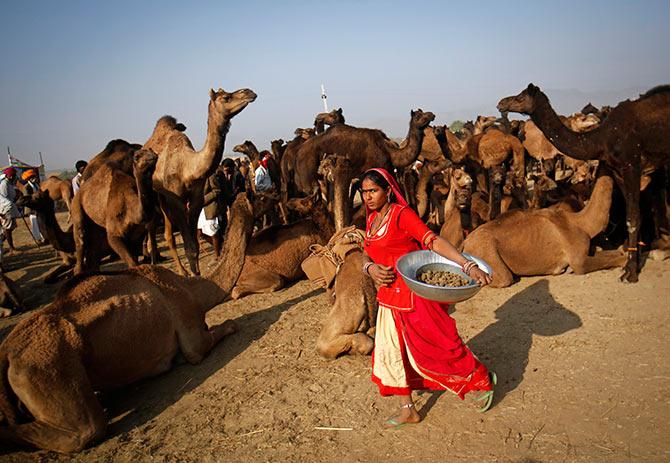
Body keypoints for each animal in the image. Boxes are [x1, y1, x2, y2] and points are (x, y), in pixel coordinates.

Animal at [0, 193, 255, 454]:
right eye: (256, 198)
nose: (247, 194)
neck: (194, 290)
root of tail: (6, 353)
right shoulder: (191, 331)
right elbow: (215, 335)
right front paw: (229, 326)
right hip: (50, 369)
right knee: (86, 429)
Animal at [144, 88, 258, 276]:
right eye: (226, 98)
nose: (249, 92)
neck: (188, 168)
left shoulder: (196, 198)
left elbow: (195, 246)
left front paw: (197, 274)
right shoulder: (176, 201)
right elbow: (188, 246)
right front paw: (193, 277)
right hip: (156, 194)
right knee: (161, 232)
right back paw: (170, 269)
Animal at [464, 172, 628, 288]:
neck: (582, 224)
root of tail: (465, 243)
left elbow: (614, 253)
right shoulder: (579, 261)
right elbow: (611, 259)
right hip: (487, 254)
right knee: (502, 278)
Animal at [498, 82, 670, 282]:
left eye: (520, 97)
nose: (501, 103)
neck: (601, 139)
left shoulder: (631, 165)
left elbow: (632, 218)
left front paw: (631, 272)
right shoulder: (617, 171)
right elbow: (635, 214)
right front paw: (633, 257)